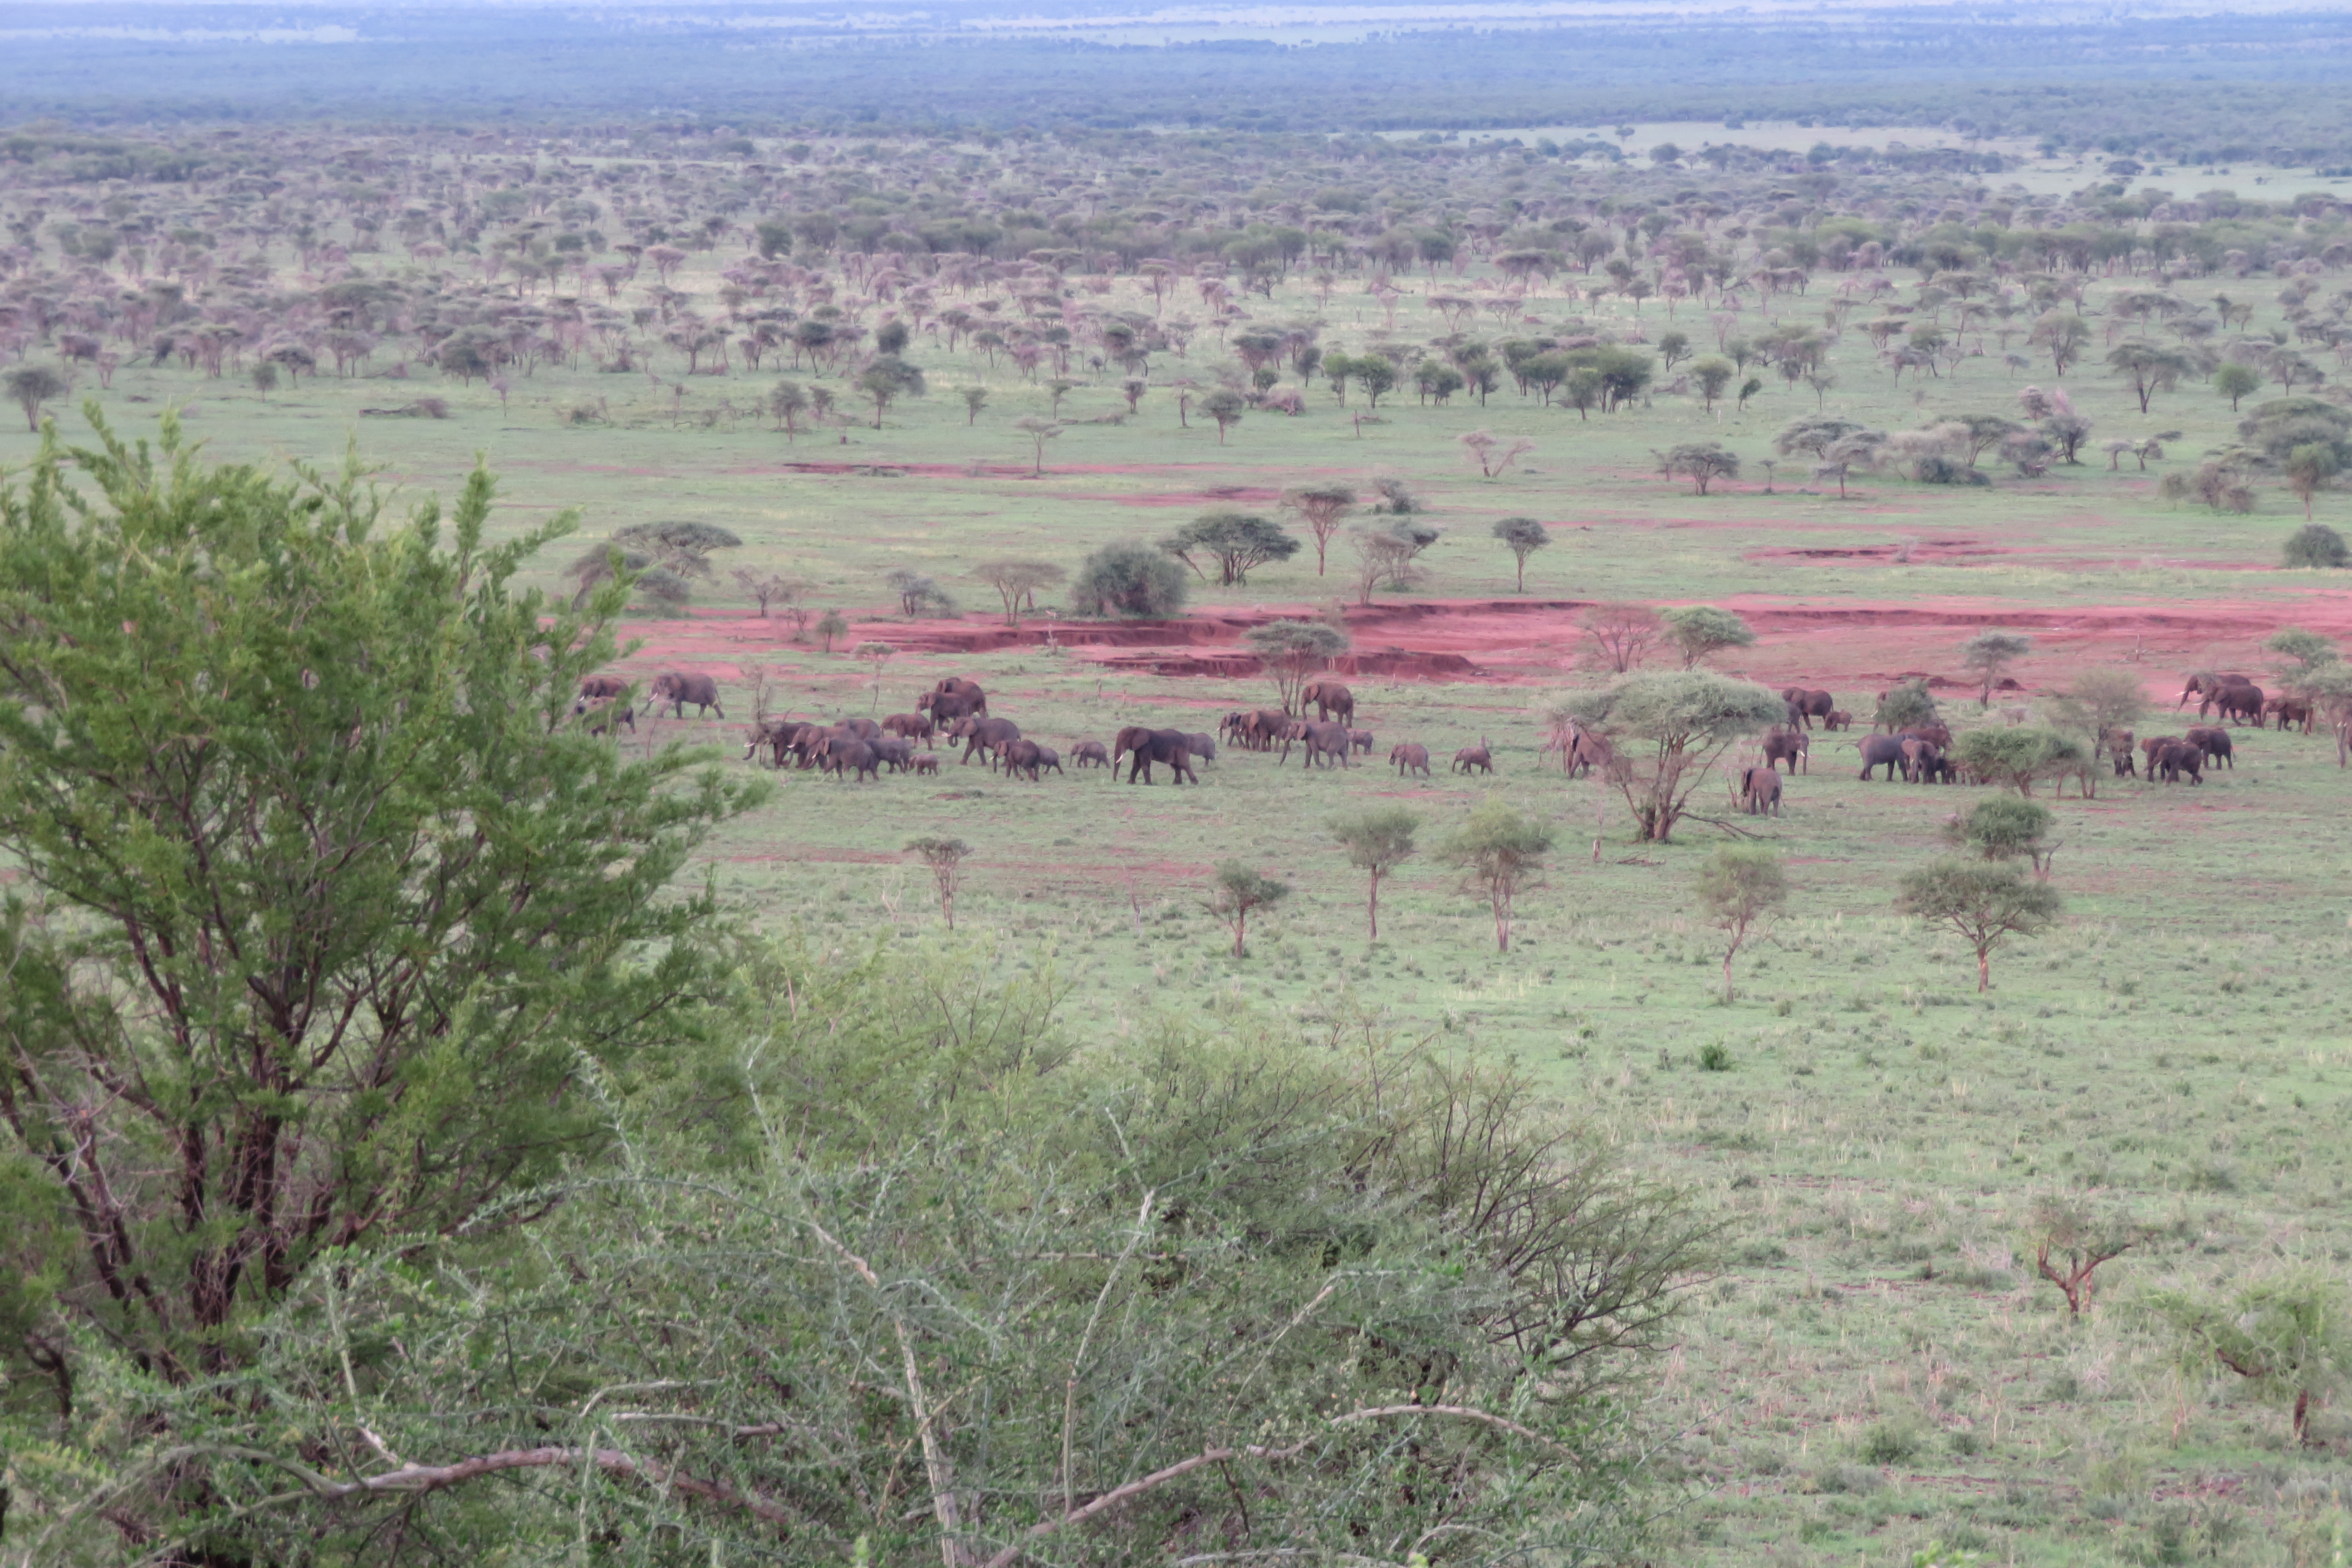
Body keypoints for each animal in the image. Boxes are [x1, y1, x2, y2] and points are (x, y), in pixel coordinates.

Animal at [1115, 733, 1204, 789]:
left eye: (1124, 740)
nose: (1115, 781)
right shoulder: (1139, 748)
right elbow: (1137, 764)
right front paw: (1130, 783)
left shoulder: (1146, 746)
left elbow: (1145, 763)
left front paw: (1147, 785)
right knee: (1176, 766)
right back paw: (1177, 783)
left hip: (1181, 748)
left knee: (1184, 764)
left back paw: (1194, 783)